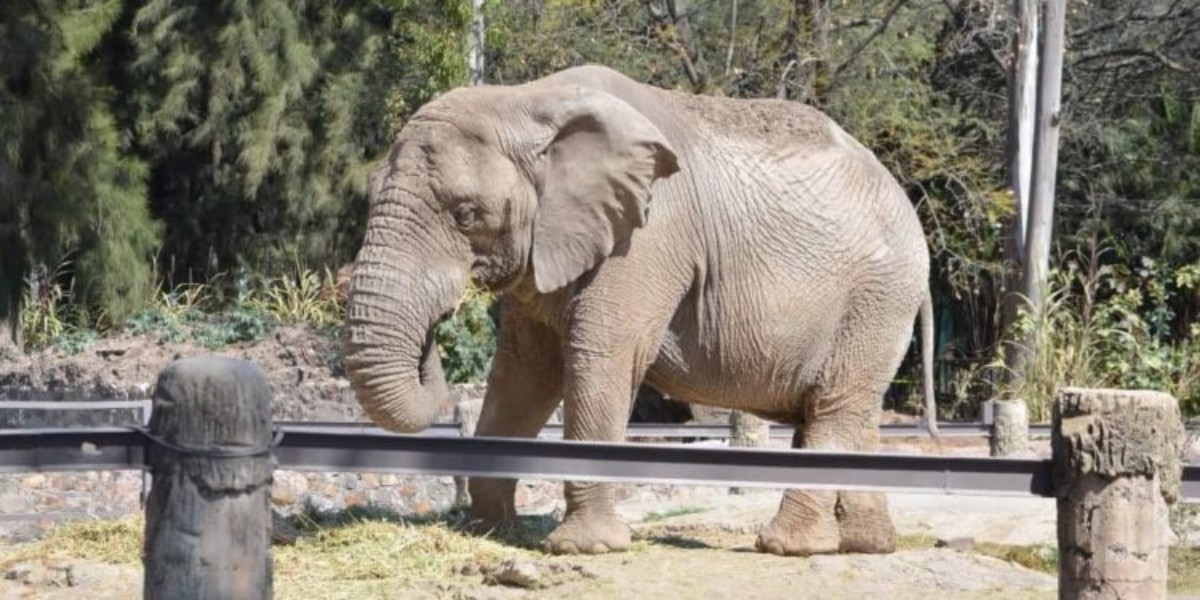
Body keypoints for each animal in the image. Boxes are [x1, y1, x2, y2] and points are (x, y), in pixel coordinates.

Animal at [342, 64, 937, 557]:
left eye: (466, 214)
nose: (435, 335)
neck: (526, 101)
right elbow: (523, 372)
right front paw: (488, 530)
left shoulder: (648, 237)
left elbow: (599, 359)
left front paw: (584, 548)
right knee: (851, 410)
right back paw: (866, 546)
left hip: (876, 298)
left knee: (835, 407)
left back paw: (788, 547)